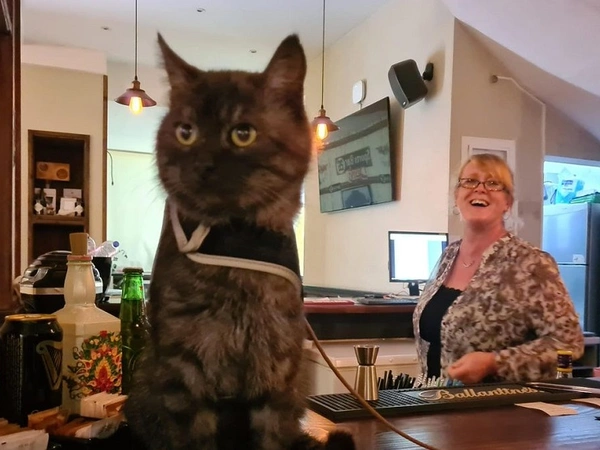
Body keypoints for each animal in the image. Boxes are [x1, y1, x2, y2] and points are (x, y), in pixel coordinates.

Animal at [123, 34, 356, 450]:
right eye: (185, 132)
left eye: (242, 134)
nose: (202, 165)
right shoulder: (183, 368)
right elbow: (195, 438)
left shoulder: (277, 368)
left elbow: (272, 437)